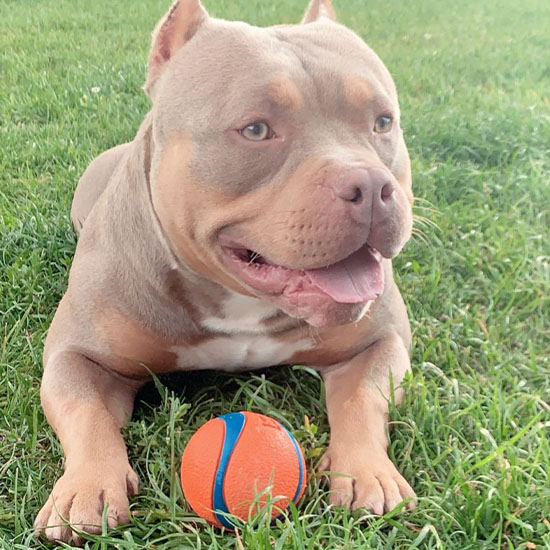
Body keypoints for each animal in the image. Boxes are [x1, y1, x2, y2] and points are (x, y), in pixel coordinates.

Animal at [34, 0, 416, 543]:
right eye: (256, 130)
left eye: (383, 122)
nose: (371, 186)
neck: (238, 299)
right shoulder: (79, 356)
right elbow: (84, 411)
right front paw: (86, 489)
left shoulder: (379, 342)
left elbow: (365, 400)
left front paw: (368, 473)